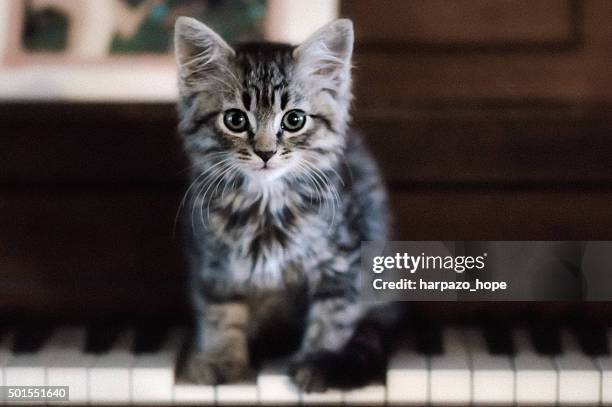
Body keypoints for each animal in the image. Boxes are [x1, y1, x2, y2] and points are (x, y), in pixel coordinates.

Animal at [175, 17, 394, 394]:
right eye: (235, 120)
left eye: (294, 120)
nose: (265, 152)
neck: (266, 205)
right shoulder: (213, 265)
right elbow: (221, 313)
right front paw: (222, 360)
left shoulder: (343, 260)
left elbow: (332, 317)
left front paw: (319, 361)